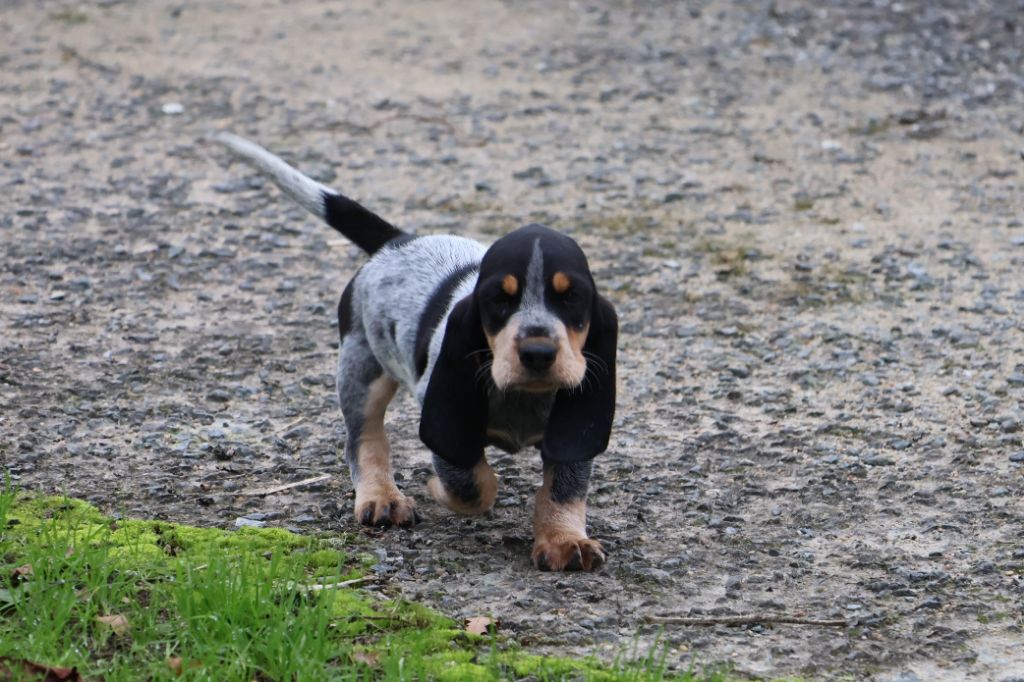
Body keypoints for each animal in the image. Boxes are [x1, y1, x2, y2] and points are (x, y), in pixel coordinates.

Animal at [216, 134, 614, 569]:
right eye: (497, 300)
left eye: (572, 298)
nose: (538, 352)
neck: (523, 398)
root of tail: (397, 240)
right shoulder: (441, 412)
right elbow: (471, 483)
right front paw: (438, 488)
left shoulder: (574, 420)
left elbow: (564, 487)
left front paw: (563, 540)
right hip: (361, 370)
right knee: (364, 439)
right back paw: (382, 498)